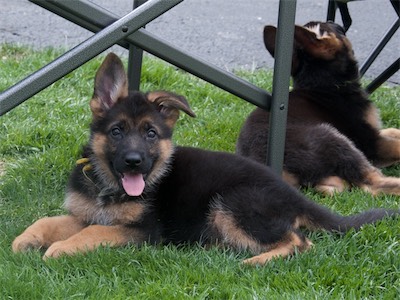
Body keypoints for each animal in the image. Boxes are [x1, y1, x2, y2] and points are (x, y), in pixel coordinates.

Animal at [13, 52, 400, 264]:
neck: (109, 187)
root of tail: (293, 195)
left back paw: (256, 262)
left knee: (299, 241)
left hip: (231, 203)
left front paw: (59, 249)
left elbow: (93, 231)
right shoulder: (86, 213)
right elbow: (51, 220)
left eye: (151, 133)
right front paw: (26, 239)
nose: (134, 161)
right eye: (117, 131)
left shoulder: (142, 230)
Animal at [236, 20, 400, 195]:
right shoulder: (370, 142)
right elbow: (396, 144)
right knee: (371, 185)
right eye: (335, 28)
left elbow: (392, 131)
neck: (325, 85)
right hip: (332, 137)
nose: (337, 21)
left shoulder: (372, 131)